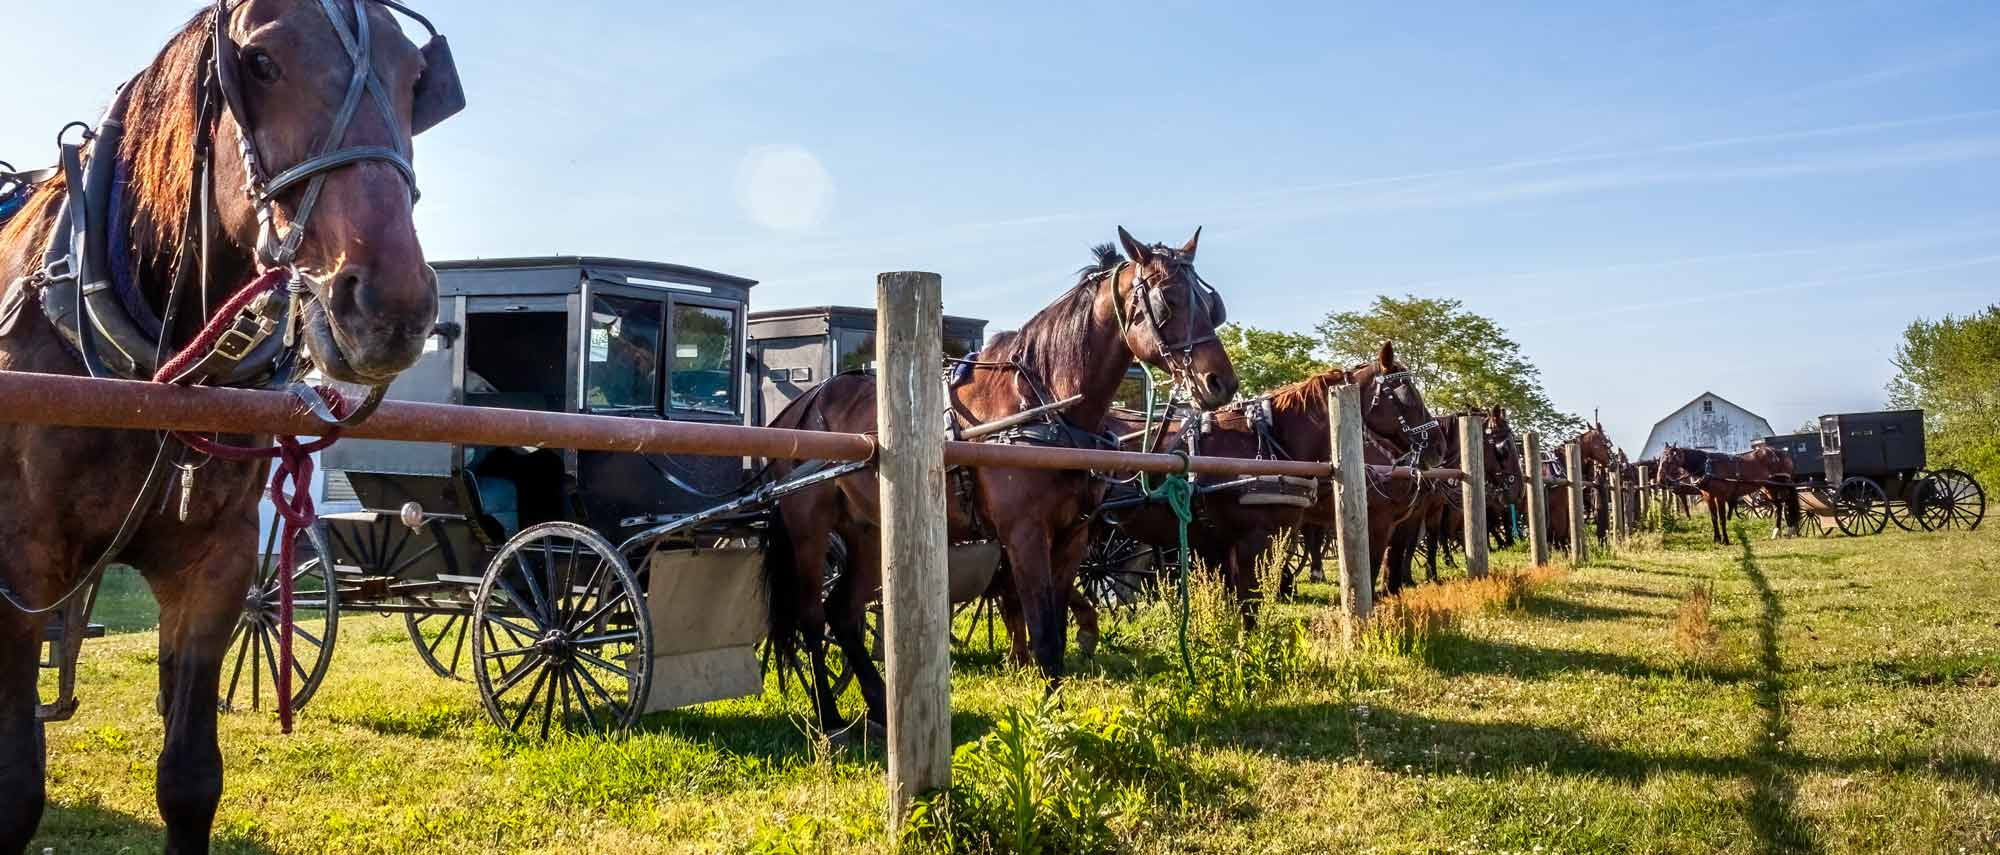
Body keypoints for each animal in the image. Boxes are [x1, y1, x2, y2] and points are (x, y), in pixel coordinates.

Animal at [0, 3, 458, 851]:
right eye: (261, 63)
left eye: (416, 79)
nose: (390, 305)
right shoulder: (22, 563)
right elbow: (15, 789)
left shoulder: (216, 564)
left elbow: (189, 780)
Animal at [760, 230, 1232, 731]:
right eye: (1169, 299)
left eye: (1210, 304)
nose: (1221, 382)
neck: (1043, 404)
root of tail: (797, 408)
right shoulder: (1024, 536)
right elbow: (1041, 631)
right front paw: (1048, 721)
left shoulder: (1073, 538)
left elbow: (1057, 626)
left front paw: (1056, 708)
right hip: (809, 531)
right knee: (812, 616)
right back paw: (829, 716)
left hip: (868, 531)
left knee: (844, 613)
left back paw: (878, 704)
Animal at [1648, 443, 1808, 543]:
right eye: (1660, 460)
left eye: (1670, 460)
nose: (1660, 480)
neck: (1707, 466)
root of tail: (1782, 453)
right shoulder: (1708, 497)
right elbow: (1713, 519)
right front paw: (1716, 539)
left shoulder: (1720, 497)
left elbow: (1722, 519)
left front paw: (1725, 540)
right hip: (1768, 487)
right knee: (1779, 506)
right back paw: (1777, 532)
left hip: (1780, 484)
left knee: (1787, 503)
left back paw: (1791, 530)